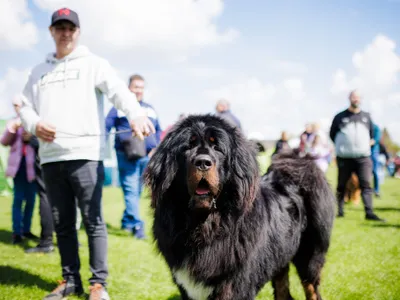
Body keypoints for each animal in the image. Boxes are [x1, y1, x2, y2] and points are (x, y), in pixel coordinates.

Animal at [145, 115, 336, 300]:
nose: (203, 162)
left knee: (312, 290)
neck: (205, 226)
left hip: (309, 256)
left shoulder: (234, 285)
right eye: (188, 147)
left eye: (217, 148)